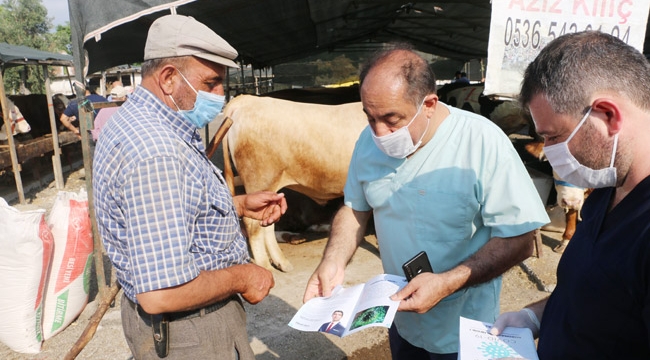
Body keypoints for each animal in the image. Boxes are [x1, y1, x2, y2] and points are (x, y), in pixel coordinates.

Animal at [221, 94, 364, 272]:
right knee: (253, 224)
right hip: (260, 182)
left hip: (270, 189)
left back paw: (281, 263)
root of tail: (248, 100)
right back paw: (266, 267)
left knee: (267, 224)